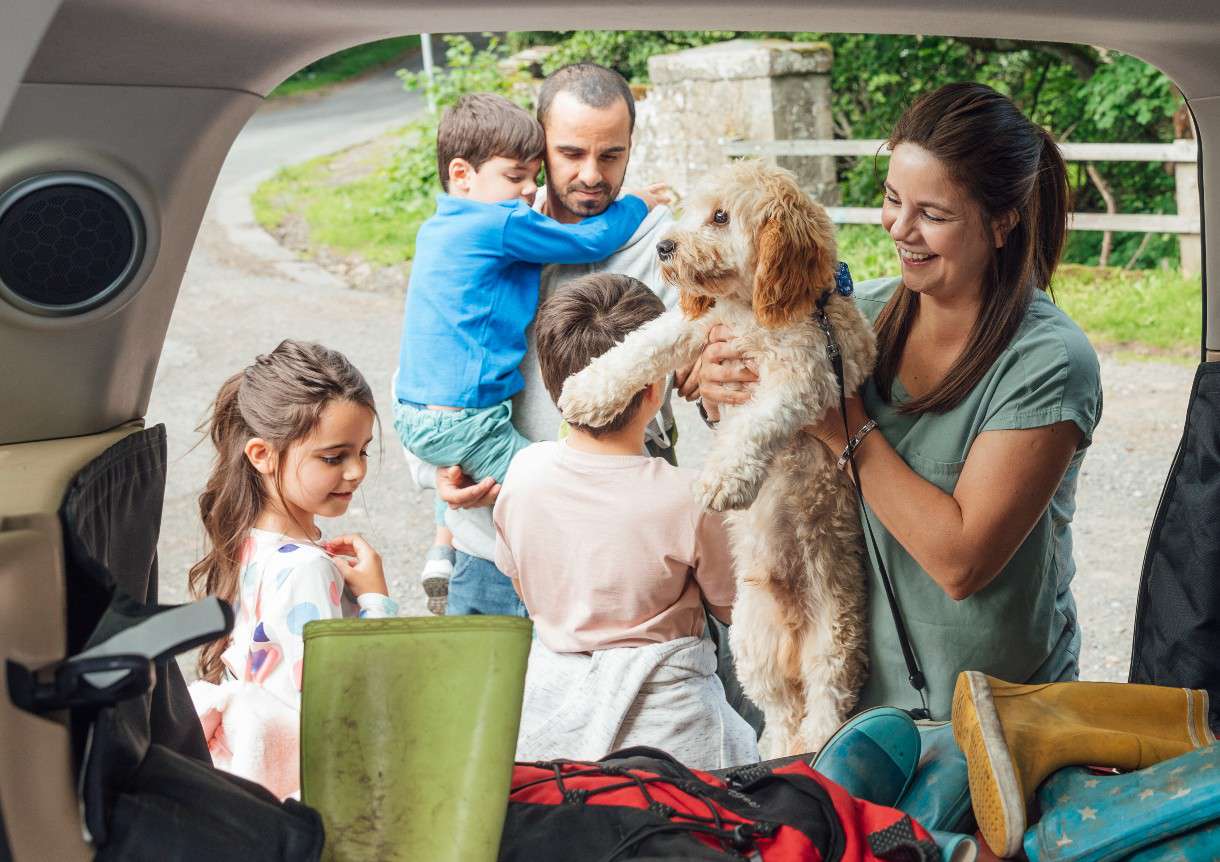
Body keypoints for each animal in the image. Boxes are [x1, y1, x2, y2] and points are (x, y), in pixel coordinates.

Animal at [561, 162, 878, 755]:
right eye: (690, 209)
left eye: (721, 217)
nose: (665, 246)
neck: (750, 306)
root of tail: (793, 626)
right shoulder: (697, 328)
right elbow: (638, 349)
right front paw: (590, 392)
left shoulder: (807, 377)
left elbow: (756, 422)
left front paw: (725, 478)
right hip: (752, 645)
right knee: (781, 713)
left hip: (834, 645)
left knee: (822, 712)